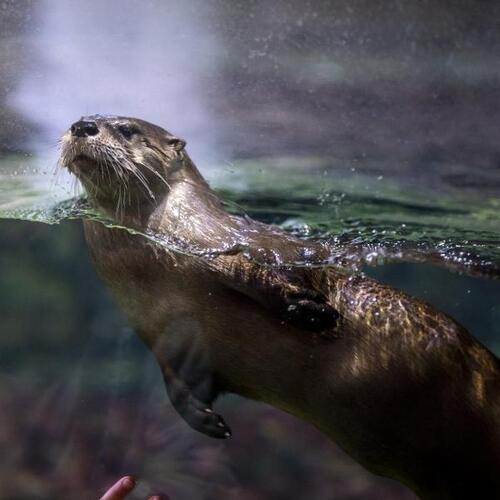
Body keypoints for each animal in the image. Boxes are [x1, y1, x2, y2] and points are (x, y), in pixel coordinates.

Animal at [59, 115, 500, 498]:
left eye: (126, 129)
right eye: (83, 118)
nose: (82, 125)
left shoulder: (220, 247)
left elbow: (255, 272)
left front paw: (310, 311)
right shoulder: (166, 338)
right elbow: (179, 383)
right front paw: (206, 420)